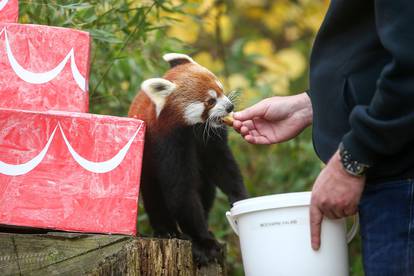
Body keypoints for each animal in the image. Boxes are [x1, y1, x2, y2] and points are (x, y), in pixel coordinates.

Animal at [129, 53, 246, 264]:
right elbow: (181, 190)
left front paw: (239, 197)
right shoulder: (168, 142)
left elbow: (224, 168)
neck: (193, 129)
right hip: (146, 167)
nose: (230, 106)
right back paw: (166, 230)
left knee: (206, 188)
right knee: (153, 195)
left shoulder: (210, 138)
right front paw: (203, 242)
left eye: (221, 89)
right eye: (210, 101)